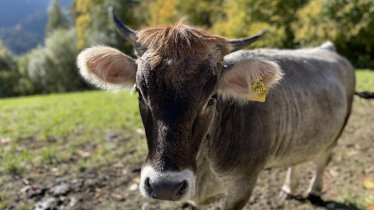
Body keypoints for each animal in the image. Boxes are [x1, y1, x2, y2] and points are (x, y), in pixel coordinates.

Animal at [75, 12, 354, 209]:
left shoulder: (243, 186)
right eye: (140, 93)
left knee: (322, 159)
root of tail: (329, 49)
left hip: (338, 130)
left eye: (212, 98)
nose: (165, 186)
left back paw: (314, 191)